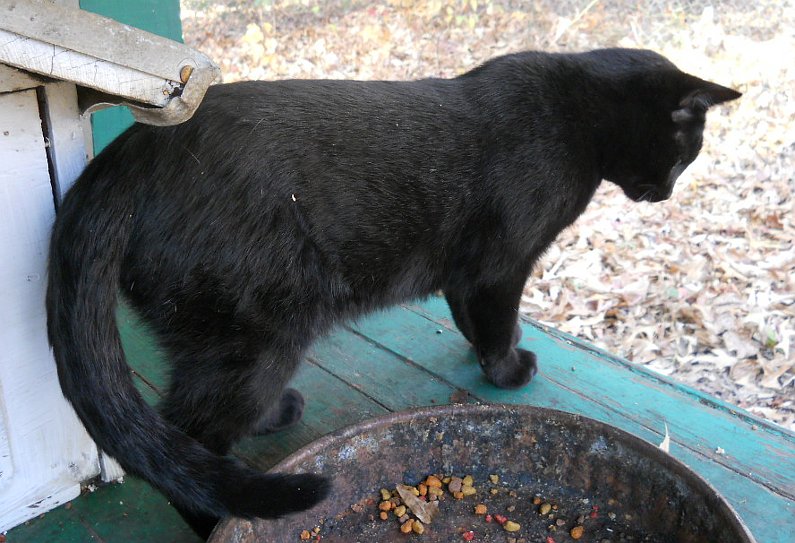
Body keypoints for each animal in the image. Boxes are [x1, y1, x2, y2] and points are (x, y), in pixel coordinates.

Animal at [46, 48, 740, 537]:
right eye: (686, 154)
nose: (668, 193)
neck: (576, 117)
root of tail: (123, 159)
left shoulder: (465, 272)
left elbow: (472, 319)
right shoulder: (501, 265)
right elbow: (495, 323)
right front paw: (507, 370)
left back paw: (274, 416)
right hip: (254, 337)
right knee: (182, 442)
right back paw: (220, 519)